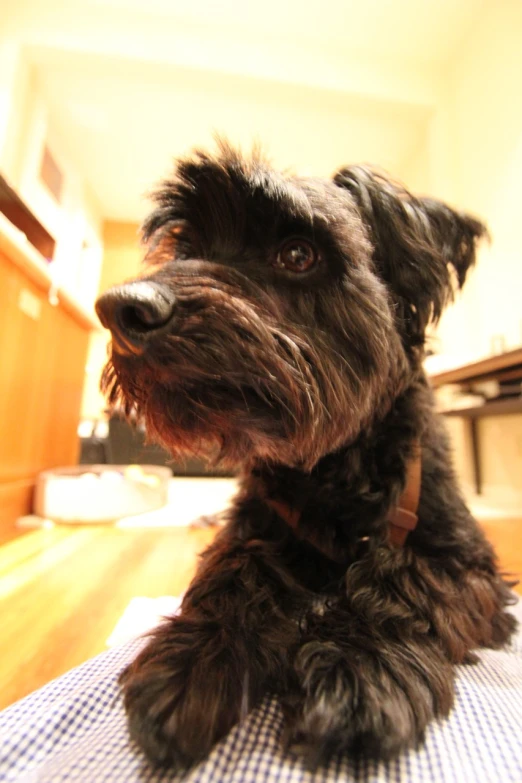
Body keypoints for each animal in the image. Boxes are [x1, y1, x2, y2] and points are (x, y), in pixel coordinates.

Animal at [95, 144, 512, 768]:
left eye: (298, 253)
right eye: (185, 248)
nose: (121, 309)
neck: (330, 469)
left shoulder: (467, 561)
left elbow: (404, 577)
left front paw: (358, 668)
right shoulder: (252, 520)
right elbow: (235, 563)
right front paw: (195, 656)